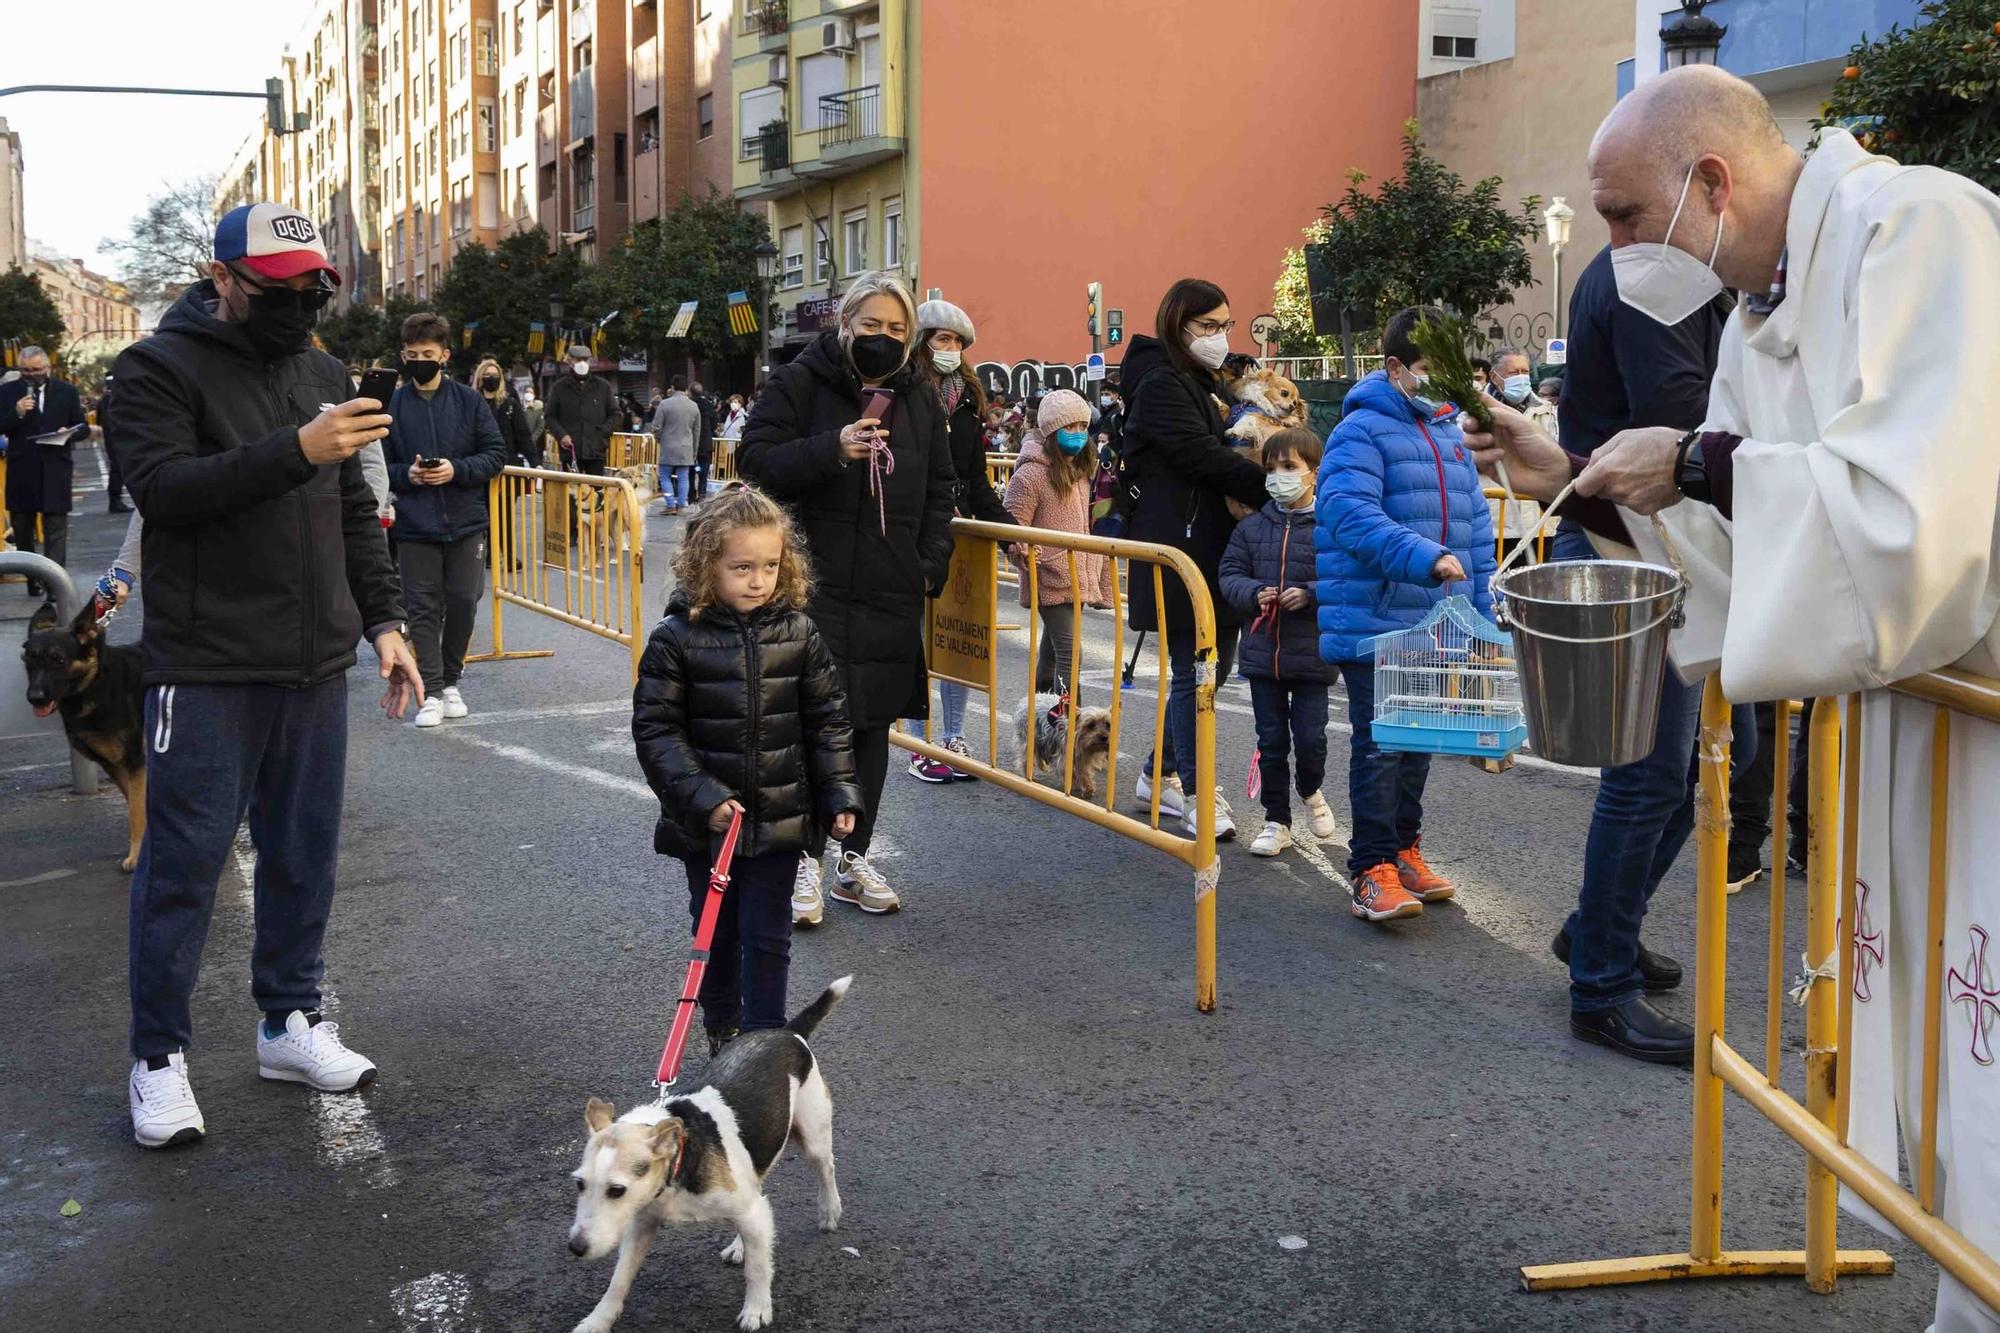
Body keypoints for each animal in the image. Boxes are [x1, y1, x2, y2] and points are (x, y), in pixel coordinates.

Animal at [22, 600, 148, 872]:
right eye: (28, 661)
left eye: (58, 659)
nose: (34, 698)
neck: (96, 686)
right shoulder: (112, 765)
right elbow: (136, 804)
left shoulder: (134, 762)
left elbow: (136, 811)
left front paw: (137, 855)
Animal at [564, 972, 852, 1320]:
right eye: (579, 1184)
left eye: (617, 1190)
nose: (576, 1248)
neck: (680, 1161)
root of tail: (788, 1032)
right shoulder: (642, 1224)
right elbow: (618, 1280)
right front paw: (597, 1321)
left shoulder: (749, 1210)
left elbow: (758, 1270)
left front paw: (756, 1310)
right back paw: (742, 1245)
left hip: (812, 1135)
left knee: (825, 1168)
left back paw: (829, 1211)